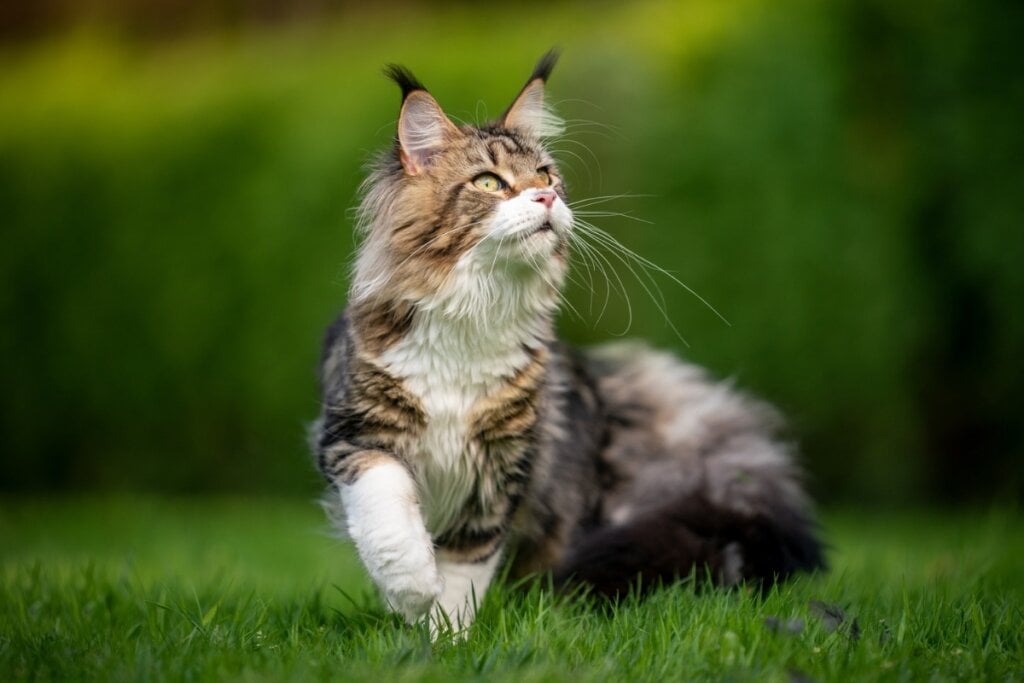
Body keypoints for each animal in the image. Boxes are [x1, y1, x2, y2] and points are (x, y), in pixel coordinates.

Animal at [311, 50, 823, 634]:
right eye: (489, 183)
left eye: (545, 174)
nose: (547, 196)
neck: (475, 317)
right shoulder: (353, 434)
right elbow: (389, 517)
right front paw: (413, 592)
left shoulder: (503, 471)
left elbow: (465, 567)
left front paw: (446, 637)